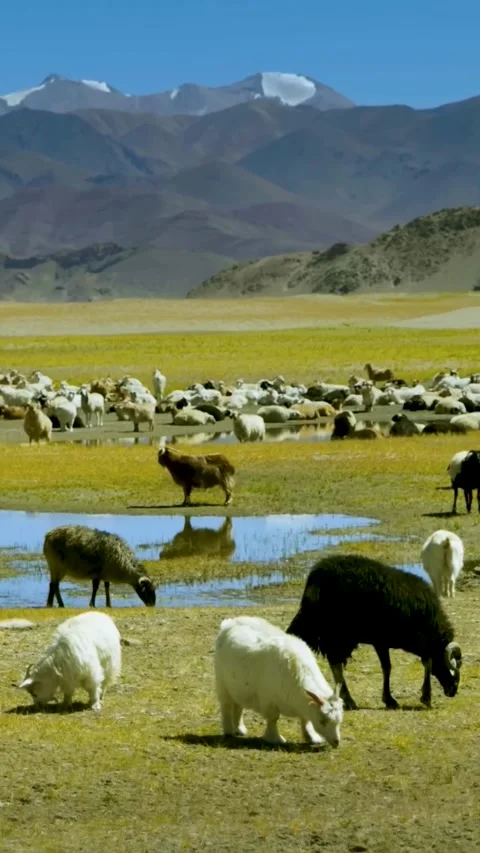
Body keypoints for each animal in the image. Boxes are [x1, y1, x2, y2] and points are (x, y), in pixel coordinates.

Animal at [215, 616, 343, 747]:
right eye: (322, 721)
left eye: (339, 720)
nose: (336, 742)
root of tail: (230, 622)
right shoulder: (269, 701)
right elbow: (273, 719)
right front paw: (275, 738)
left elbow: (306, 720)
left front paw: (312, 738)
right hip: (222, 684)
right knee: (226, 706)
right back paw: (229, 731)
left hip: (238, 687)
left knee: (238, 705)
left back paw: (240, 729)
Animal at [287, 553, 462, 710]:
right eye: (450, 665)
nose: (453, 690)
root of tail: (314, 579)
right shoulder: (383, 641)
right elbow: (391, 667)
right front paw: (399, 699)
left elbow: (416, 663)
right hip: (339, 634)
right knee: (335, 662)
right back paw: (349, 700)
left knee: (335, 663)